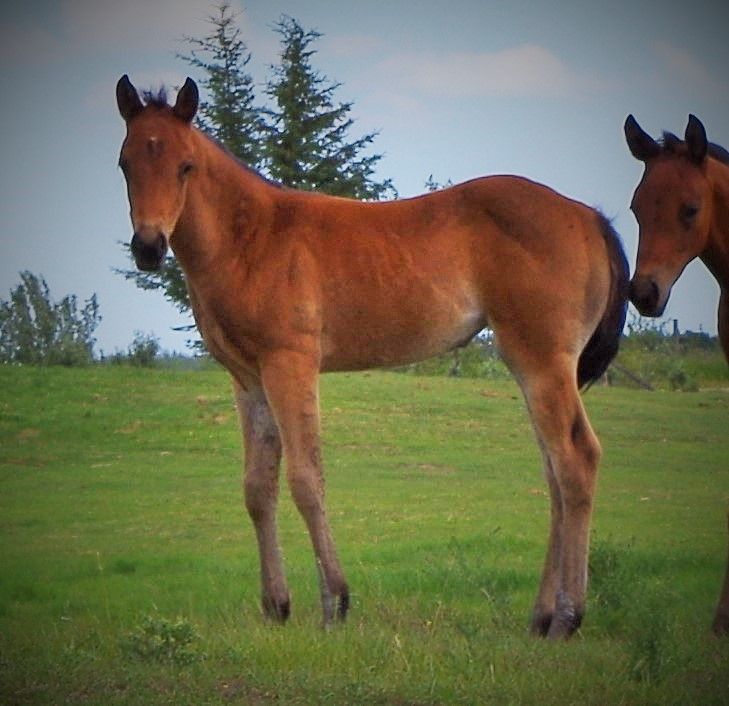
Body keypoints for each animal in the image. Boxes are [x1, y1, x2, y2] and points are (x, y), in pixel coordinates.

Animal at [116, 74, 628, 638]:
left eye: (185, 165)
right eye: (124, 163)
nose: (148, 247)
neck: (251, 239)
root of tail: (587, 216)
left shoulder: (290, 363)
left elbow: (305, 479)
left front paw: (334, 604)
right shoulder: (247, 378)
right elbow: (257, 487)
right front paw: (276, 606)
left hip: (542, 360)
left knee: (576, 460)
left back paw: (567, 617)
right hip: (532, 367)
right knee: (554, 472)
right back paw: (541, 616)